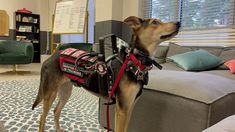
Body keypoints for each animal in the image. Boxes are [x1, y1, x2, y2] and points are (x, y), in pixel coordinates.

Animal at [31, 16, 180, 132]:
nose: (178, 23)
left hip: (65, 91)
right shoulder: (122, 110)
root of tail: (51, 57)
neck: (135, 61)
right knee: (42, 118)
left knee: (56, 111)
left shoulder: (129, 108)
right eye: (155, 22)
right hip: (50, 93)